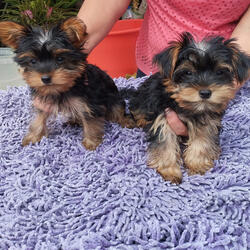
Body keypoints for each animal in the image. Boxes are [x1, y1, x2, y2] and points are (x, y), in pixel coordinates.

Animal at [0, 18, 135, 150]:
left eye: (60, 59)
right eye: (33, 61)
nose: (45, 78)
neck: (63, 87)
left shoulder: (88, 104)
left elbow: (90, 122)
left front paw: (91, 142)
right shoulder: (43, 101)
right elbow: (38, 118)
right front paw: (33, 136)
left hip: (114, 98)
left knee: (117, 109)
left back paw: (125, 120)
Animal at [128, 32, 249, 183]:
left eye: (220, 72)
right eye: (188, 73)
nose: (205, 92)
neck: (188, 107)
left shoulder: (208, 121)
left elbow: (202, 140)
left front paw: (197, 164)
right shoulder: (163, 118)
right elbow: (165, 143)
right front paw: (169, 171)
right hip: (143, 98)